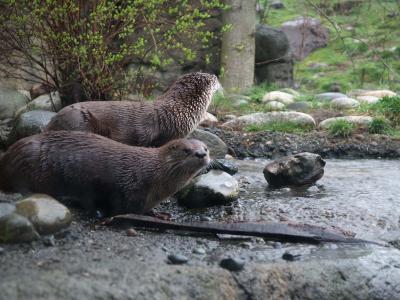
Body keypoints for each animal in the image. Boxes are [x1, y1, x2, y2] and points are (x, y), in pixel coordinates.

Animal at [0, 131, 211, 216]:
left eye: (206, 148)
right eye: (186, 150)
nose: (201, 154)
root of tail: (9, 154)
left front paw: (158, 213)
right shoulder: (130, 189)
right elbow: (123, 208)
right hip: (28, 162)